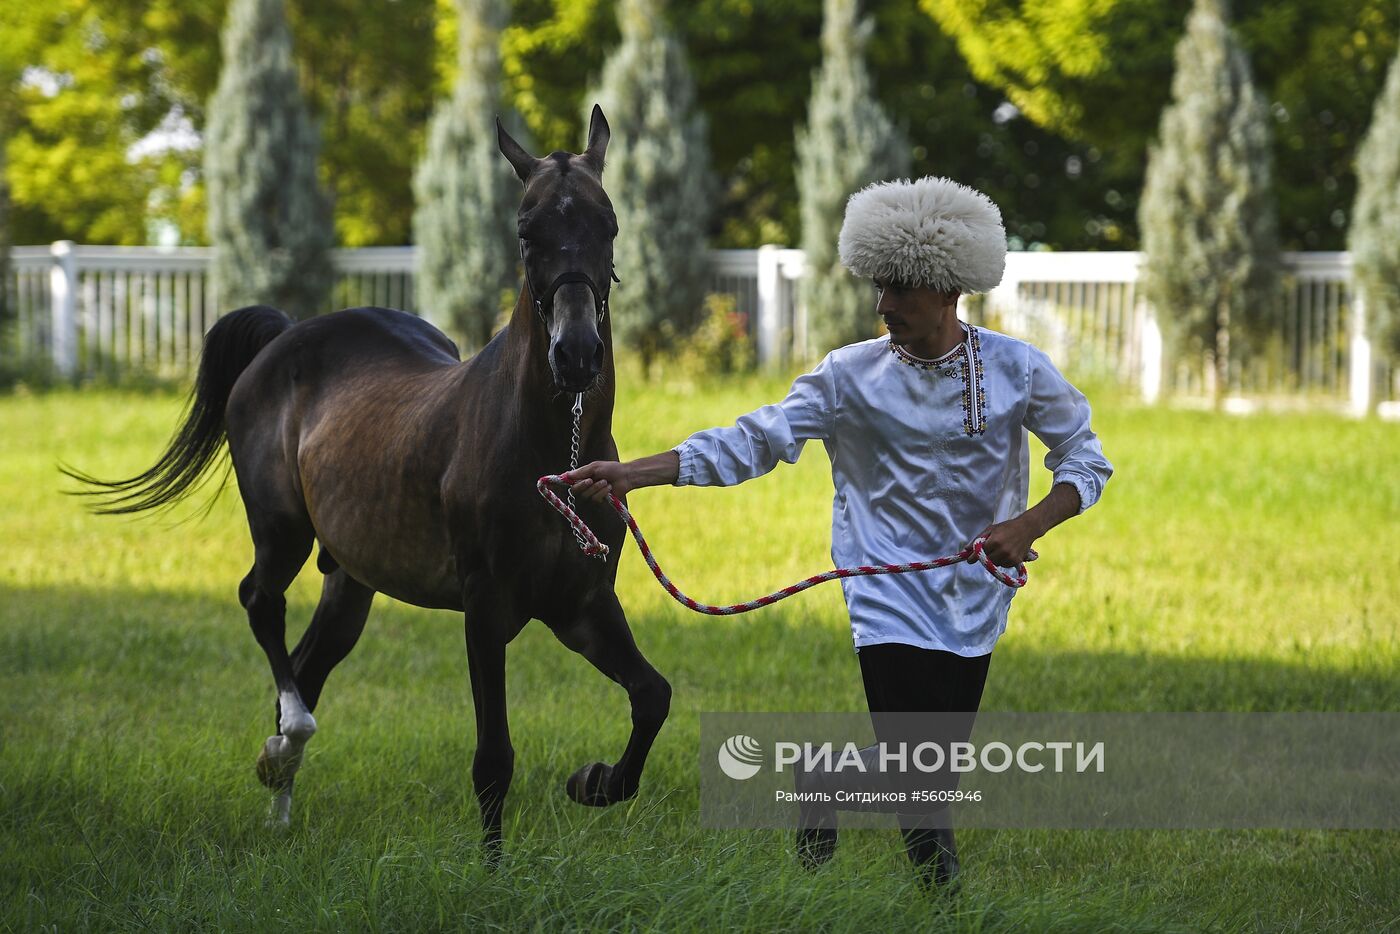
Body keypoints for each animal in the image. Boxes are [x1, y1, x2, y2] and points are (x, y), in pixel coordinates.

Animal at [65, 105, 672, 856]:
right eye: (527, 231)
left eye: (608, 222)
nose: (578, 353)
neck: (545, 448)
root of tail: (284, 336)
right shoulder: (485, 608)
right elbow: (494, 759)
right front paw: (497, 871)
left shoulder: (581, 605)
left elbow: (652, 697)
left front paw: (594, 781)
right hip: (282, 532)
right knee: (261, 605)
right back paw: (285, 746)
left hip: (350, 578)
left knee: (309, 661)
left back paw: (281, 799)